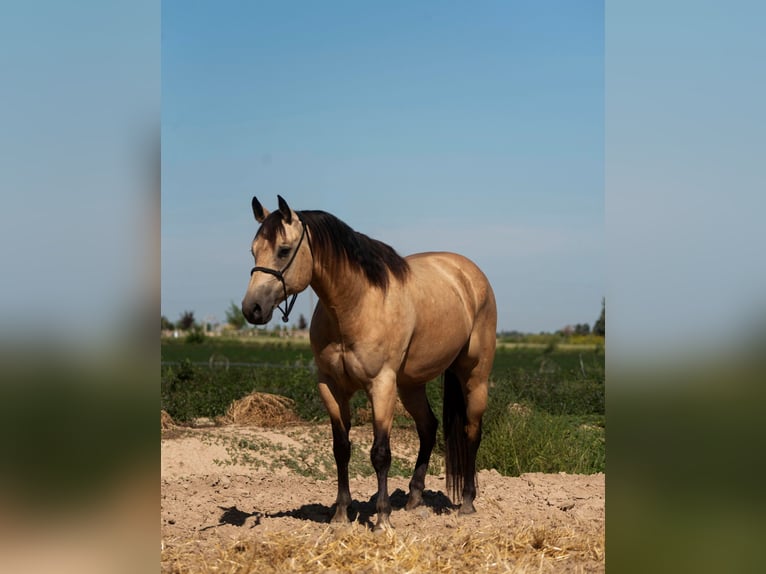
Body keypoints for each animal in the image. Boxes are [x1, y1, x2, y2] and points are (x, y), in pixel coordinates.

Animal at [243, 196, 500, 532]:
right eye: (253, 250)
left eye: (283, 250)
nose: (252, 308)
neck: (355, 305)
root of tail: (469, 274)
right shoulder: (331, 387)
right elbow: (341, 449)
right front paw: (340, 513)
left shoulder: (381, 385)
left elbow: (380, 453)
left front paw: (382, 517)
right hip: (411, 384)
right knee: (428, 427)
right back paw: (414, 498)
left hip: (474, 376)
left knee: (472, 431)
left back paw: (468, 502)